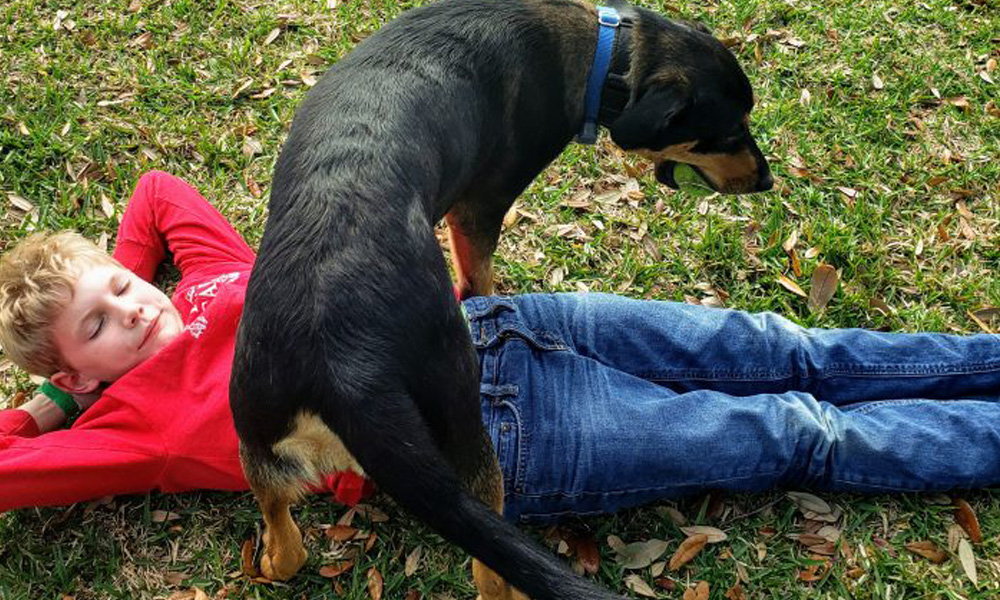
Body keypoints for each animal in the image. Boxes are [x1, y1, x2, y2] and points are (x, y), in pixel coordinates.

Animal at [229, 2, 772, 596]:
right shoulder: (479, 211)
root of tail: (344, 367)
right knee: (490, 569)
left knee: (287, 542)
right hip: (465, 429)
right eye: (728, 131)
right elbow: (479, 275)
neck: (605, 50)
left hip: (254, 431)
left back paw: (266, 560)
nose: (767, 181)